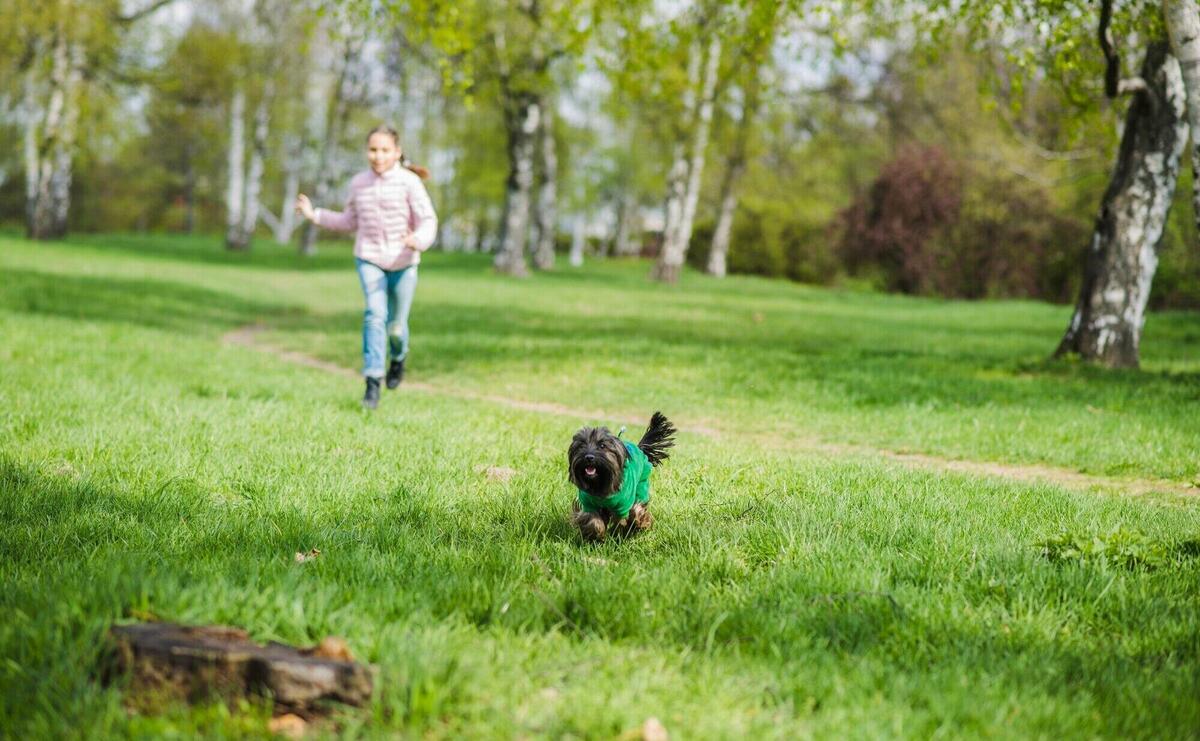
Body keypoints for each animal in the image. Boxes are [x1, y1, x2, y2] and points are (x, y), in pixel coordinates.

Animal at [568, 407, 676, 539]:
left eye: (602, 445)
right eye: (581, 446)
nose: (589, 457)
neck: (601, 484)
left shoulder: (623, 505)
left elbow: (625, 518)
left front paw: (622, 532)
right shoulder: (589, 504)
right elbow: (592, 520)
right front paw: (596, 534)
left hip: (641, 485)